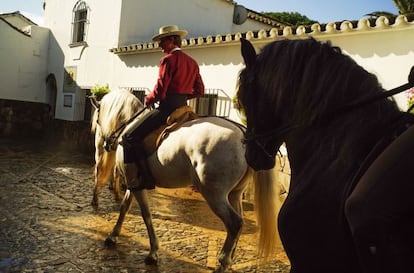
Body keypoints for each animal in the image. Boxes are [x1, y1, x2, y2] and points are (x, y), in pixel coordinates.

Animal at [89, 88, 280, 270]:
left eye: (97, 120)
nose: (105, 143)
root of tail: (243, 135)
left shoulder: (134, 183)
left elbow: (146, 214)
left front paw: (153, 252)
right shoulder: (133, 183)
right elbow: (124, 207)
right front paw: (113, 236)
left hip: (214, 194)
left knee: (235, 223)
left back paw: (223, 261)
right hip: (235, 193)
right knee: (239, 222)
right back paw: (231, 258)